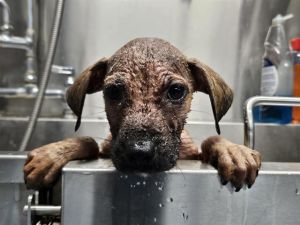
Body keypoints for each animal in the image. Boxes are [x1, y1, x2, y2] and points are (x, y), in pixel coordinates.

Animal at [24, 37, 262, 192]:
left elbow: (211, 139)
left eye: (176, 91)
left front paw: (233, 151)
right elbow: (89, 141)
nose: (139, 151)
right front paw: (53, 154)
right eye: (113, 92)